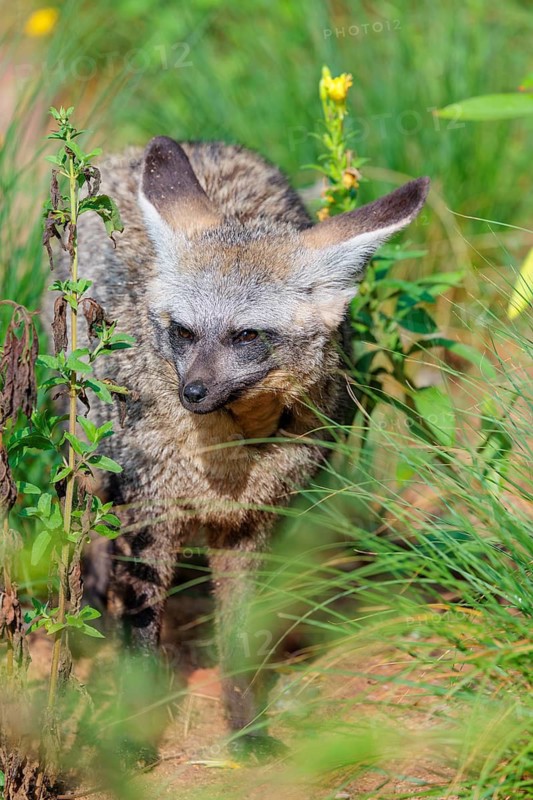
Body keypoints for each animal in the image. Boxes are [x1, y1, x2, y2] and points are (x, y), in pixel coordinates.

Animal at [72, 136, 429, 758]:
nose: (192, 392)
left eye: (246, 336)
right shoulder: (151, 517)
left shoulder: (252, 525)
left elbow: (240, 642)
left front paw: (247, 728)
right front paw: (133, 734)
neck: (228, 463)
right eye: (183, 332)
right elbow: (141, 636)